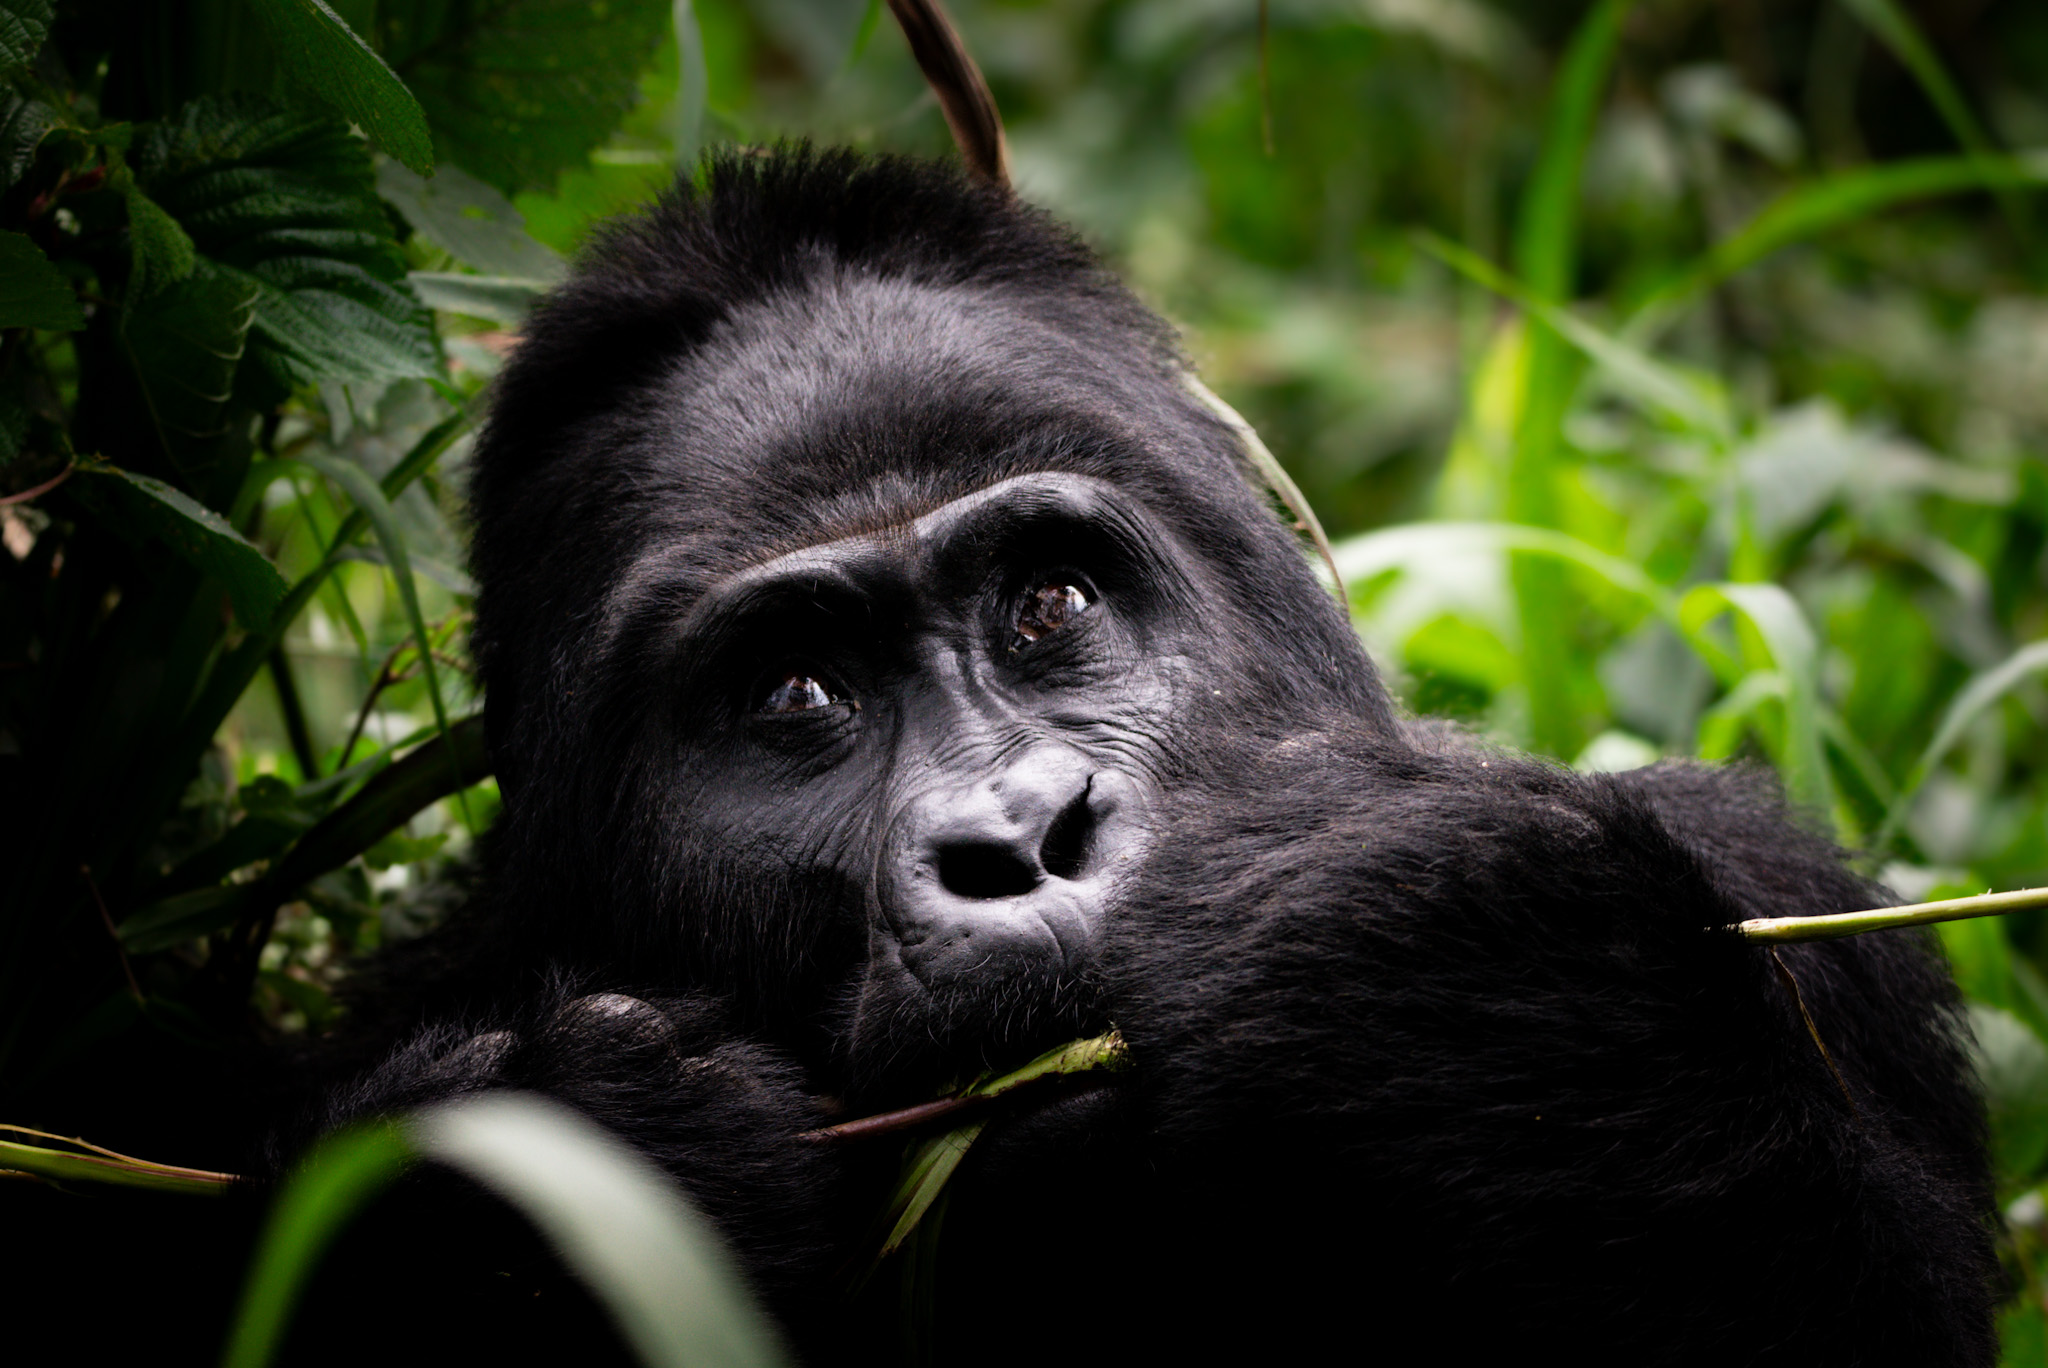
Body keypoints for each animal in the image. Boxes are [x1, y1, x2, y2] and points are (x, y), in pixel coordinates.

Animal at [292, 149, 1998, 1368]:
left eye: (1049, 602)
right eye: (795, 694)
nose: (1019, 838)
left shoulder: (1772, 883)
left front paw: (1502, 982)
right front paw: (526, 1193)